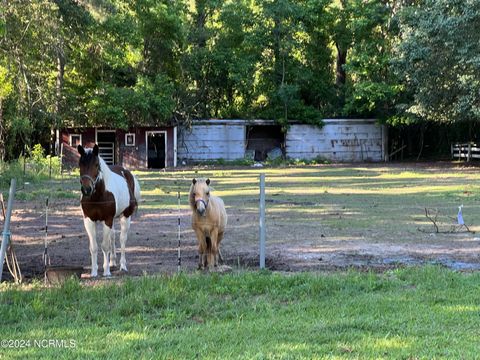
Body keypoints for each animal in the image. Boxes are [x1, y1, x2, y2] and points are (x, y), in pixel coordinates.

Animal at [77, 145, 141, 278]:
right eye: (80, 164)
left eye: (96, 164)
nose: (86, 189)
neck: (99, 196)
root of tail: (127, 172)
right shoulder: (89, 220)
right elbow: (94, 247)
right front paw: (94, 271)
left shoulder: (107, 219)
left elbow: (104, 246)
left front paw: (106, 271)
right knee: (113, 236)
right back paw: (112, 262)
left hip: (125, 217)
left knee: (122, 239)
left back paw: (122, 266)